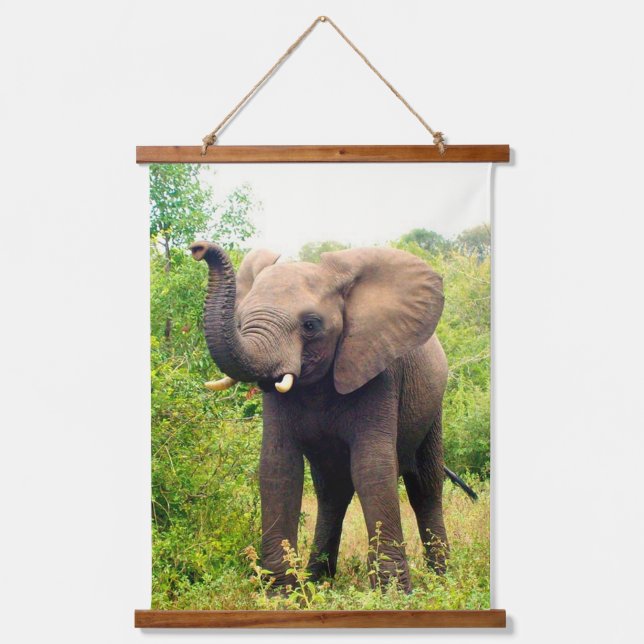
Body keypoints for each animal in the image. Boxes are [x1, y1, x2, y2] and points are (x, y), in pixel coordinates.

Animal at [190, 240, 475, 592]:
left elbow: (372, 467)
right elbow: (278, 467)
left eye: (310, 325)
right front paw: (282, 594)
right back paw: (318, 580)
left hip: (433, 409)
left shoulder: (379, 370)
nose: (198, 248)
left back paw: (442, 581)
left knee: (424, 487)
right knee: (332, 492)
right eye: (240, 320)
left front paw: (393, 595)